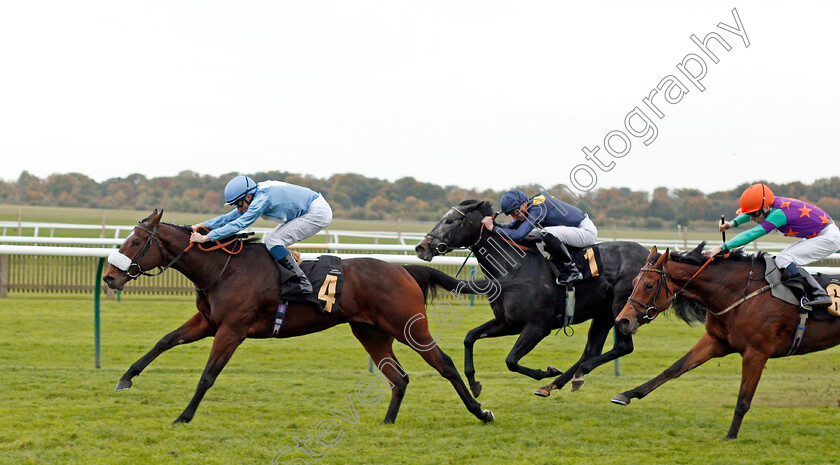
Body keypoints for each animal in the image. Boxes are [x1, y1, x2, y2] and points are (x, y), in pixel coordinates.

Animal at [102, 210, 496, 424]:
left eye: (135, 242)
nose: (109, 277)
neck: (224, 268)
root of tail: (403, 269)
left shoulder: (232, 329)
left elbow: (207, 376)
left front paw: (184, 416)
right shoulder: (209, 323)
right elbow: (164, 341)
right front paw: (125, 378)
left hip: (408, 326)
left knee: (444, 364)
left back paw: (481, 410)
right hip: (370, 332)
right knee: (398, 378)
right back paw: (387, 421)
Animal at [416, 199, 648, 396]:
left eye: (449, 221)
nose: (421, 247)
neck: (513, 268)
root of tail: (650, 255)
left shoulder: (538, 326)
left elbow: (510, 360)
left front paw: (545, 371)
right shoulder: (508, 322)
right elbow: (470, 337)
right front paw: (473, 382)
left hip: (622, 308)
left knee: (622, 347)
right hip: (603, 314)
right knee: (591, 350)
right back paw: (561, 382)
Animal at [612, 243, 840, 438]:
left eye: (649, 285)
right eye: (633, 282)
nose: (622, 320)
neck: (739, 293)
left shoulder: (756, 353)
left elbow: (743, 400)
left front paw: (730, 436)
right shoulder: (716, 341)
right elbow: (674, 369)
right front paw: (627, 394)